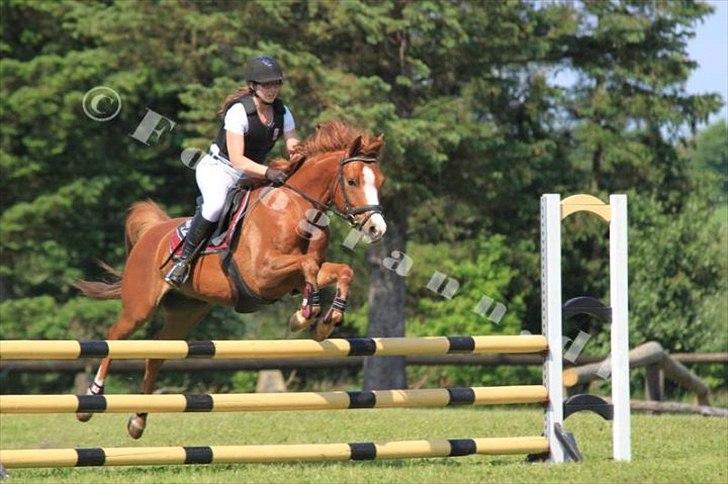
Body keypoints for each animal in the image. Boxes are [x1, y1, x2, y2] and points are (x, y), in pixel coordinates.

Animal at [74, 121, 387, 438]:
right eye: (352, 181)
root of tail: (152, 232)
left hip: (186, 311)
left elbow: (341, 271)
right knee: (114, 337)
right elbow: (307, 265)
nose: (377, 229)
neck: (296, 211)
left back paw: (138, 420)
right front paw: (304, 314)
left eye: (380, 181)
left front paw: (327, 320)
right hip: (139, 306)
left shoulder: (294, 278)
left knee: (157, 354)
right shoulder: (262, 275)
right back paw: (91, 400)